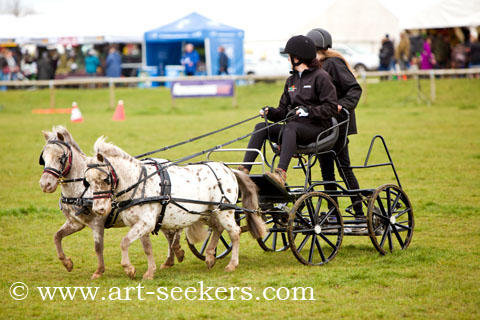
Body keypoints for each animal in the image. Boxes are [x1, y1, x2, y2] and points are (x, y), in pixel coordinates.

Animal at [39, 126, 186, 278]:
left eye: (60, 158)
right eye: (43, 158)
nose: (45, 184)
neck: (82, 189)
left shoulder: (98, 222)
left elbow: (98, 247)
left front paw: (99, 271)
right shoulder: (75, 223)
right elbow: (57, 237)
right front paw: (67, 263)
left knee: (177, 230)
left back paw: (177, 250)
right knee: (170, 234)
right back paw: (170, 260)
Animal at [85, 138, 266, 278]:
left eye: (105, 179)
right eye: (87, 181)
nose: (99, 210)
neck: (139, 183)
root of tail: (228, 169)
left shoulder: (145, 223)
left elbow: (124, 242)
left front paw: (129, 269)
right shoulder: (140, 224)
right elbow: (146, 248)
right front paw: (150, 272)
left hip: (224, 211)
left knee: (234, 232)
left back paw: (232, 264)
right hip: (208, 212)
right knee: (217, 228)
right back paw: (209, 256)